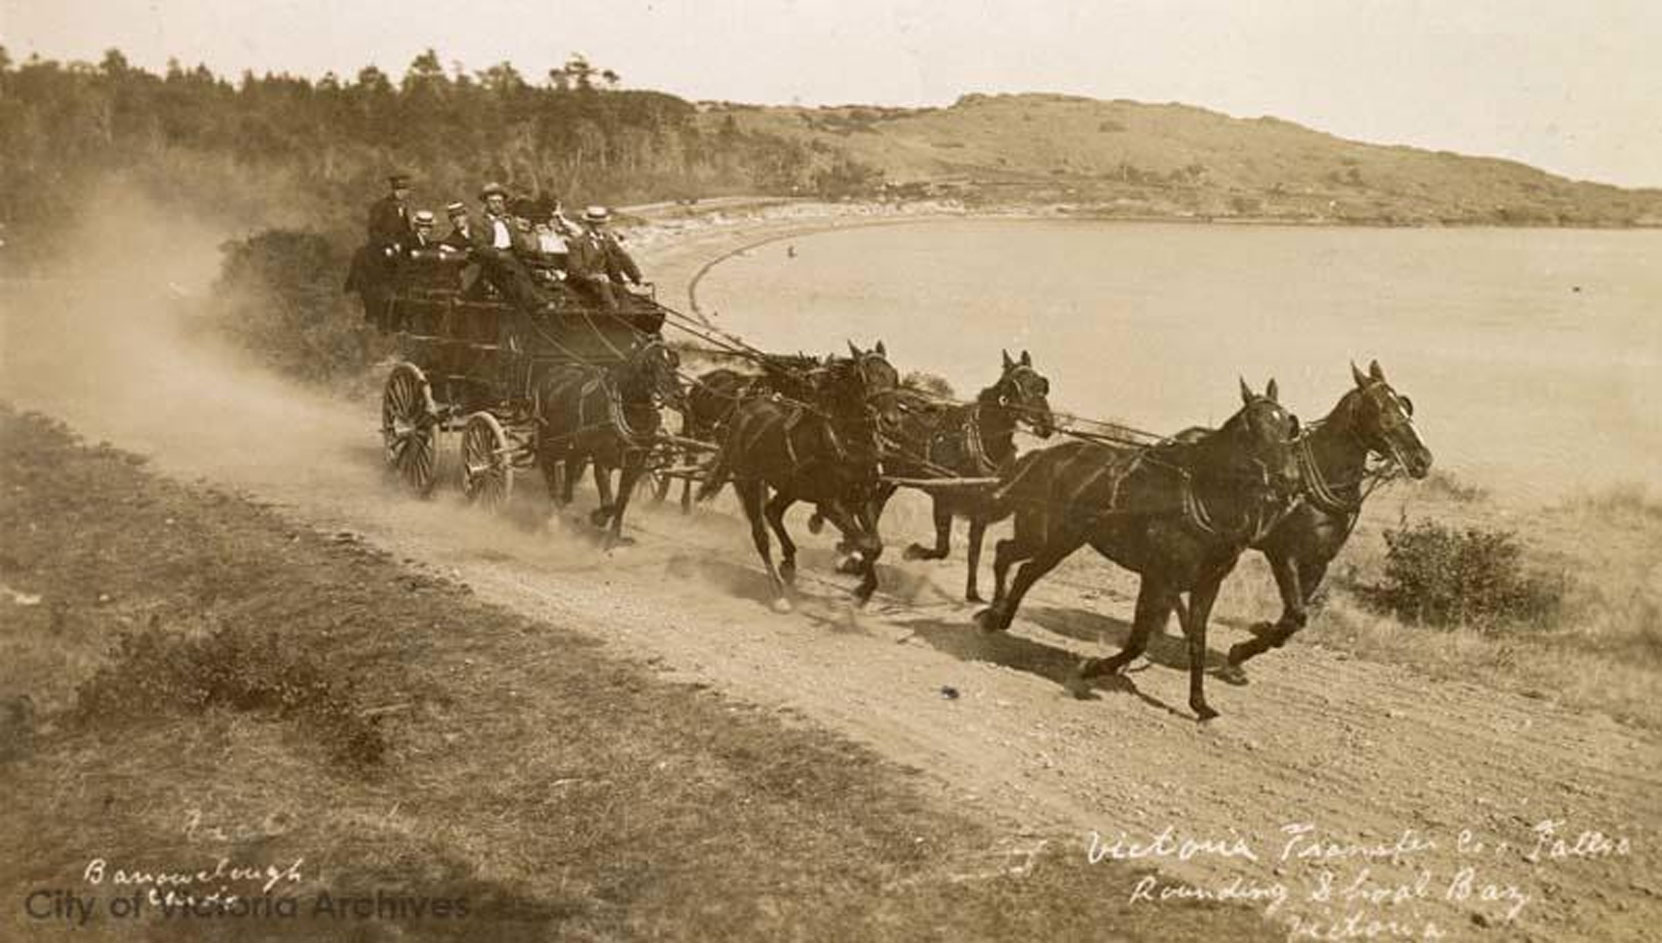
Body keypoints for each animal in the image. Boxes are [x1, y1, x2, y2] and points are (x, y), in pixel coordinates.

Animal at [538, 337, 681, 545]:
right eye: (651, 363)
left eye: (673, 362)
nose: (679, 396)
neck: (631, 414)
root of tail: (556, 372)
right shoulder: (602, 462)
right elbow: (608, 503)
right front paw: (597, 518)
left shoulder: (634, 467)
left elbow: (621, 502)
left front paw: (614, 537)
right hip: (551, 438)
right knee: (547, 464)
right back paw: (553, 513)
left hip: (577, 445)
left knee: (570, 465)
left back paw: (564, 500)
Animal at [694, 342, 904, 608]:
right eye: (863, 376)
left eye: (894, 376)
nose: (891, 420)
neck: (848, 442)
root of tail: (745, 411)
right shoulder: (830, 503)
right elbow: (865, 542)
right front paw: (851, 565)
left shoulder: (861, 500)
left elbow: (875, 544)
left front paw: (863, 588)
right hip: (748, 481)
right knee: (761, 536)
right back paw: (778, 594)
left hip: (790, 486)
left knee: (772, 512)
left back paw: (789, 565)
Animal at [870, 350, 1050, 602]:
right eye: (1015, 386)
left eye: (1042, 385)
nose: (1047, 425)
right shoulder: (943, 499)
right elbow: (942, 548)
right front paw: (912, 552)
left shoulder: (980, 511)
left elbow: (974, 551)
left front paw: (972, 593)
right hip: (890, 473)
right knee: (874, 503)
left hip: (895, 476)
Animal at [977, 380, 1303, 718]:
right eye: (1252, 427)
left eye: (1290, 426)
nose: (1290, 480)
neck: (1197, 495)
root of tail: (1044, 455)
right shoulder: (1156, 576)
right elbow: (1138, 641)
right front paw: (1093, 667)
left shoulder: (1207, 584)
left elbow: (1197, 640)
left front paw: (1199, 704)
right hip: (1050, 536)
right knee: (1021, 565)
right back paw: (996, 617)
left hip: (1059, 538)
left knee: (1013, 559)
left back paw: (995, 613)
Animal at [1189, 360, 1435, 671]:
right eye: (1380, 407)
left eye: (1403, 405)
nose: (1422, 459)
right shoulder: (1285, 555)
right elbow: (1295, 615)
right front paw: (1243, 647)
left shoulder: (1319, 561)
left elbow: (1294, 617)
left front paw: (1256, 636)